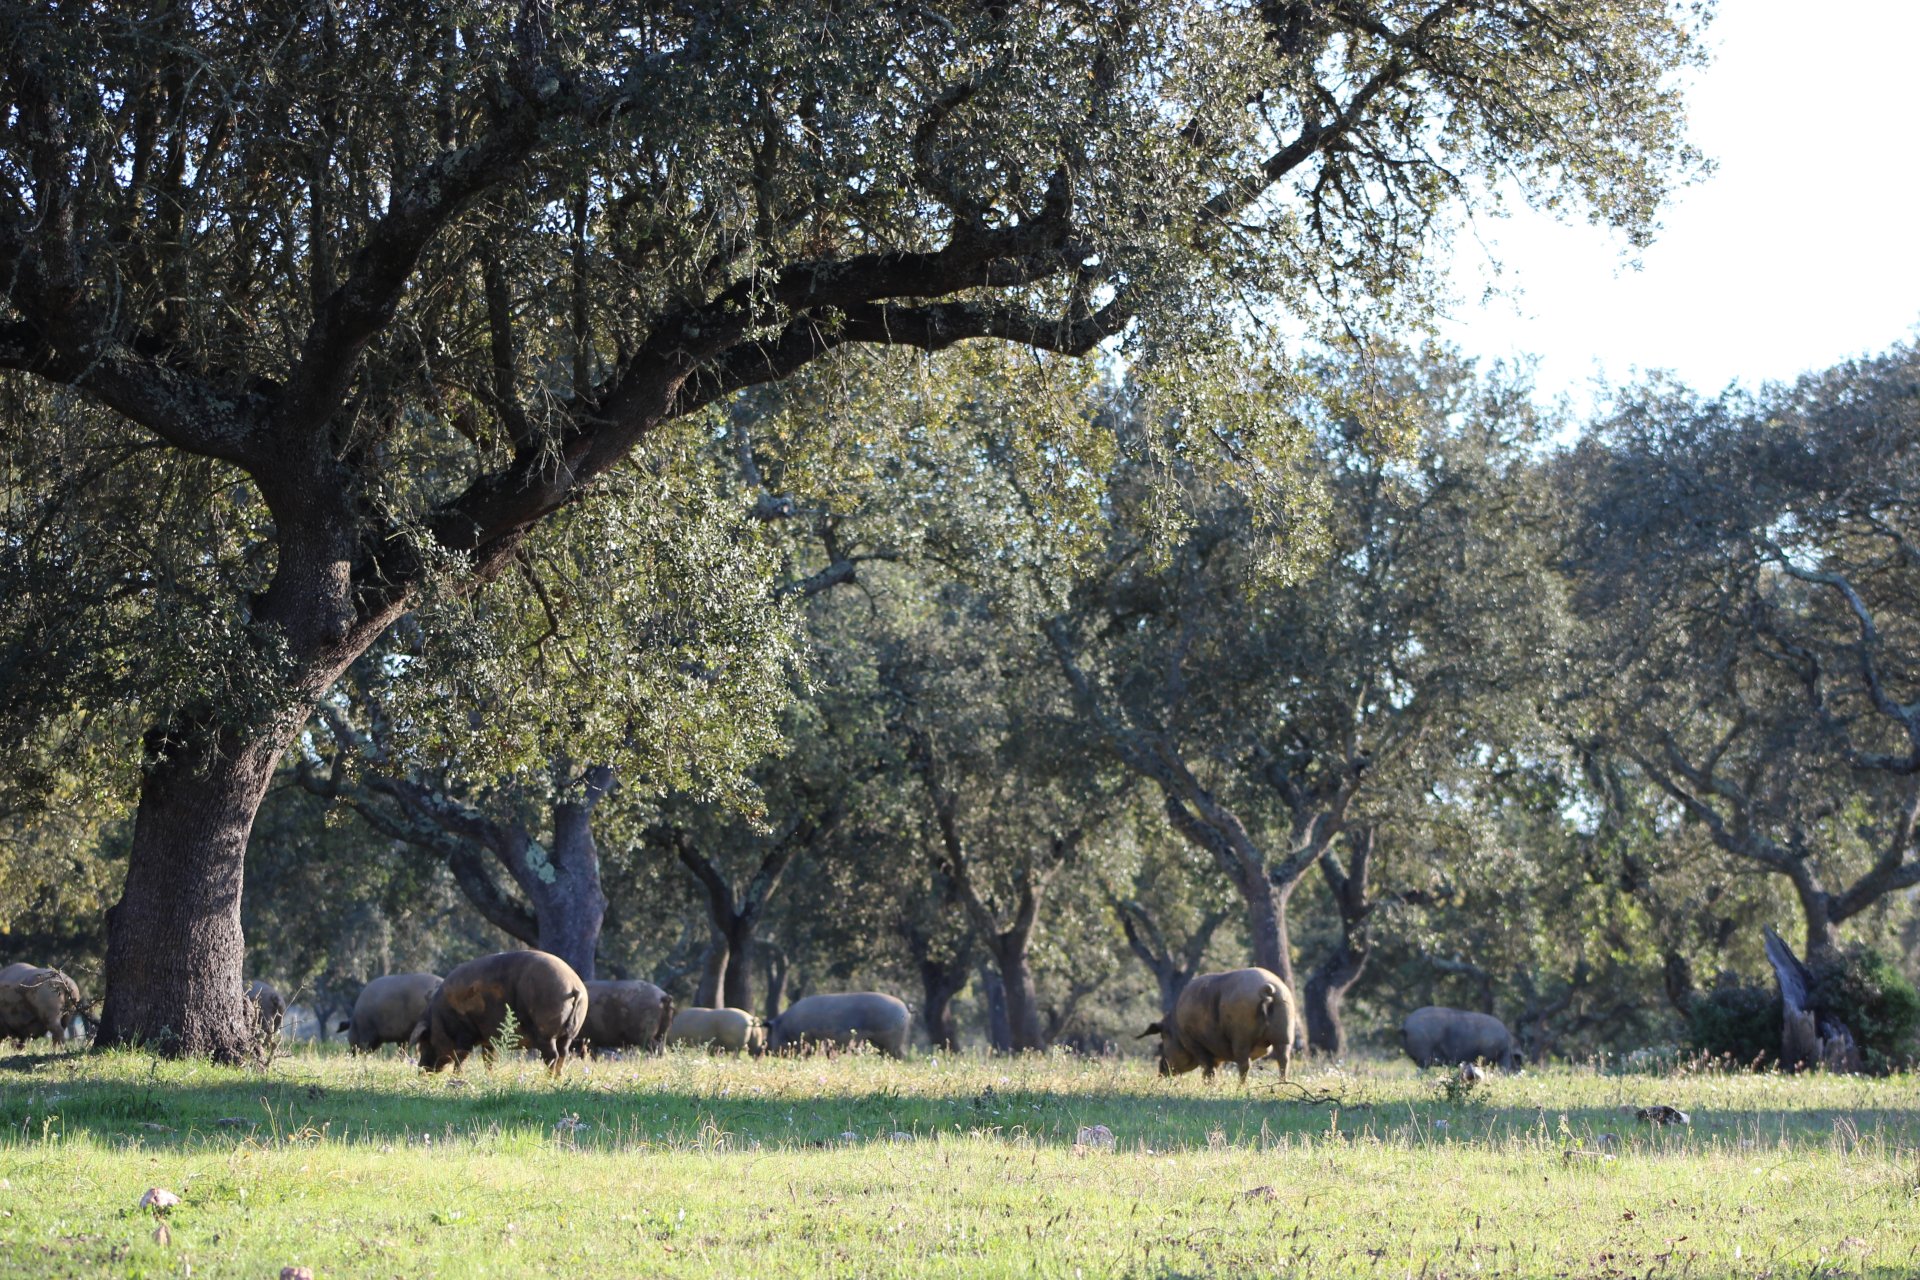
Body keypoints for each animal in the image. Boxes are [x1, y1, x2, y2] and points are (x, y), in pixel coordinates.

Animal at [409, 950, 588, 1075]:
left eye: (425, 1041)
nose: (420, 1071)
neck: (440, 1017)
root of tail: (573, 985)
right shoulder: (489, 1039)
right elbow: (488, 1060)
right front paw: (489, 1077)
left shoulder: (465, 1031)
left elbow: (461, 1057)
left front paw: (457, 1077)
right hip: (569, 1033)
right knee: (563, 1053)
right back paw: (558, 1078)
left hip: (546, 1030)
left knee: (552, 1056)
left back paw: (549, 1078)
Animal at [765, 992, 911, 1059]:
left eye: (770, 1032)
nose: (764, 1051)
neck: (784, 1027)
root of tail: (905, 1009)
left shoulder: (806, 1039)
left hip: (892, 1041)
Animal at [1138, 967, 1296, 1082]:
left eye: (1161, 1043)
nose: (1161, 1072)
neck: (1177, 1029)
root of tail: (1267, 989)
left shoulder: (1195, 1043)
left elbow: (1208, 1069)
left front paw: (1209, 1086)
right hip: (1285, 1028)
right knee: (1283, 1058)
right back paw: (1282, 1083)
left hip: (1242, 1033)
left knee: (1244, 1063)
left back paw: (1240, 1087)